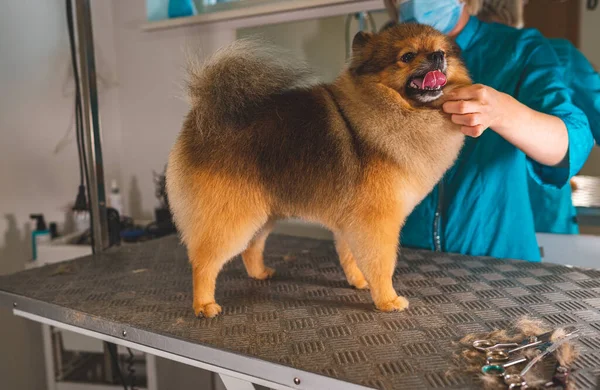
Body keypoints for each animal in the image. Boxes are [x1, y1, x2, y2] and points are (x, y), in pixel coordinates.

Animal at [166, 23, 472, 316]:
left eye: (443, 51)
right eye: (407, 56)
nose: (438, 56)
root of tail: (203, 110)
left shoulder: (352, 221)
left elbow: (350, 256)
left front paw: (359, 281)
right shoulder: (376, 222)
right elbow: (381, 263)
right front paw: (387, 299)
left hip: (262, 213)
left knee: (252, 248)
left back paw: (260, 273)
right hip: (231, 216)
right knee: (204, 262)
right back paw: (204, 305)